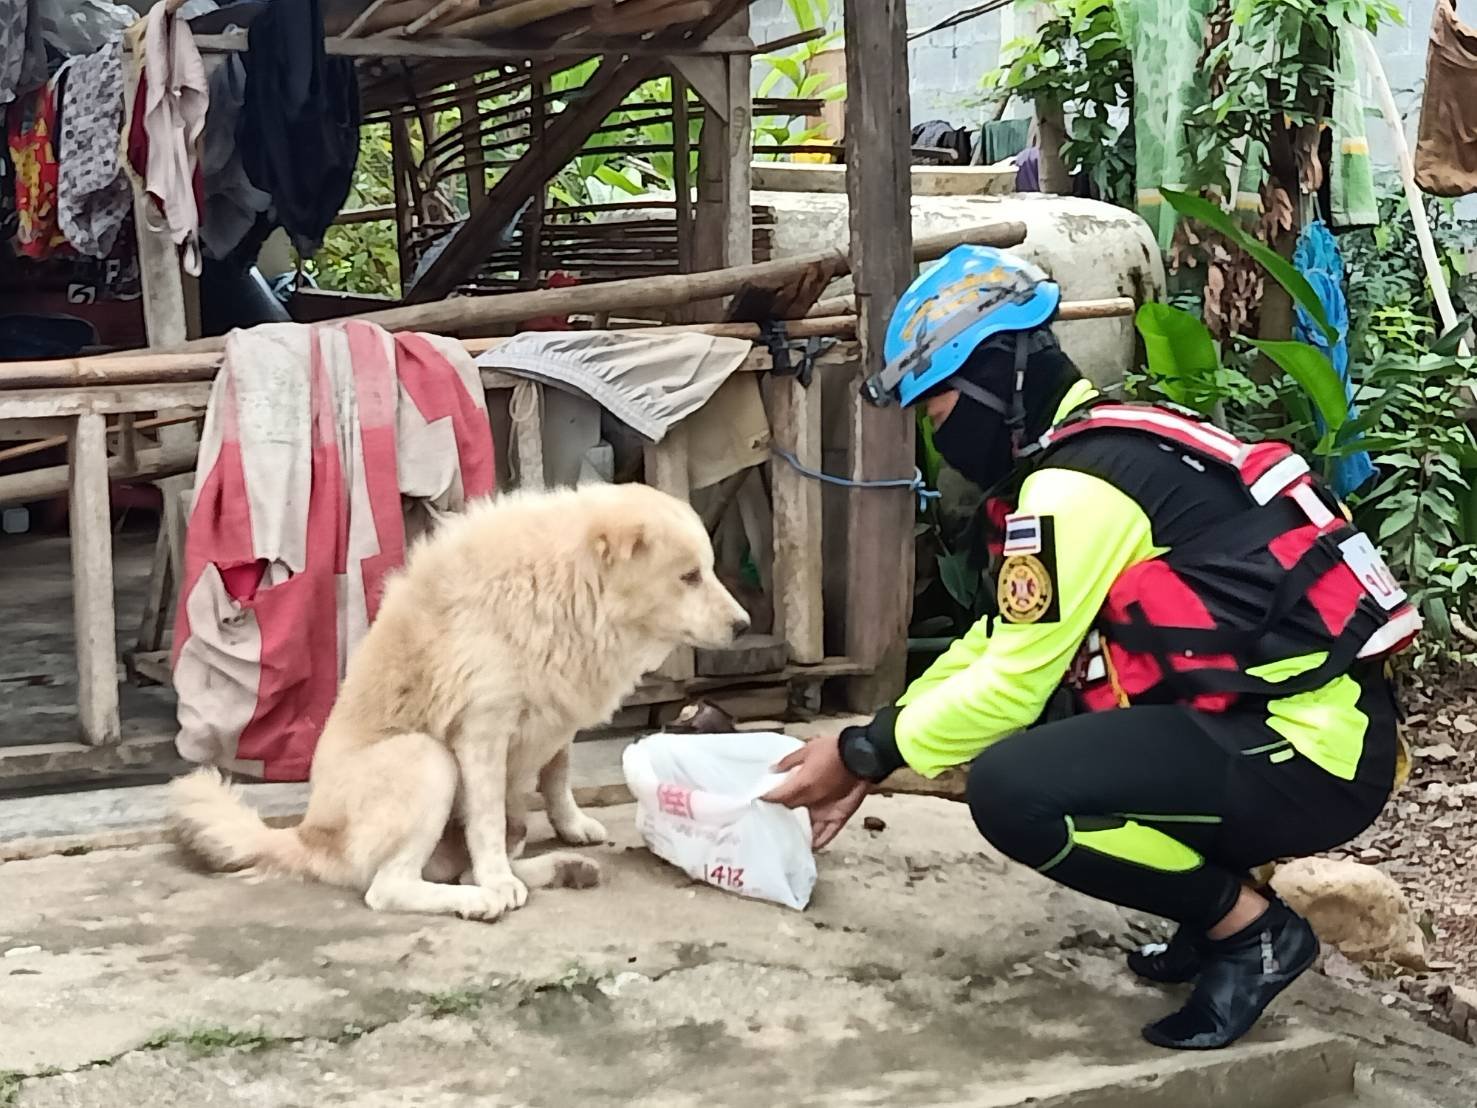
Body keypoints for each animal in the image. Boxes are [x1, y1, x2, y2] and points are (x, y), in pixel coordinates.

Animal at [169, 481, 750, 921]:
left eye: (709, 569)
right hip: (427, 759)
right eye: (689, 576)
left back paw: (558, 869)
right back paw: (482, 898)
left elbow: (557, 775)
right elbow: (485, 823)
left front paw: (572, 825)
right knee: (389, 888)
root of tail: (308, 837)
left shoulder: (558, 715)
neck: (568, 584)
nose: (745, 626)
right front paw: (498, 879)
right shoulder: (483, 733)